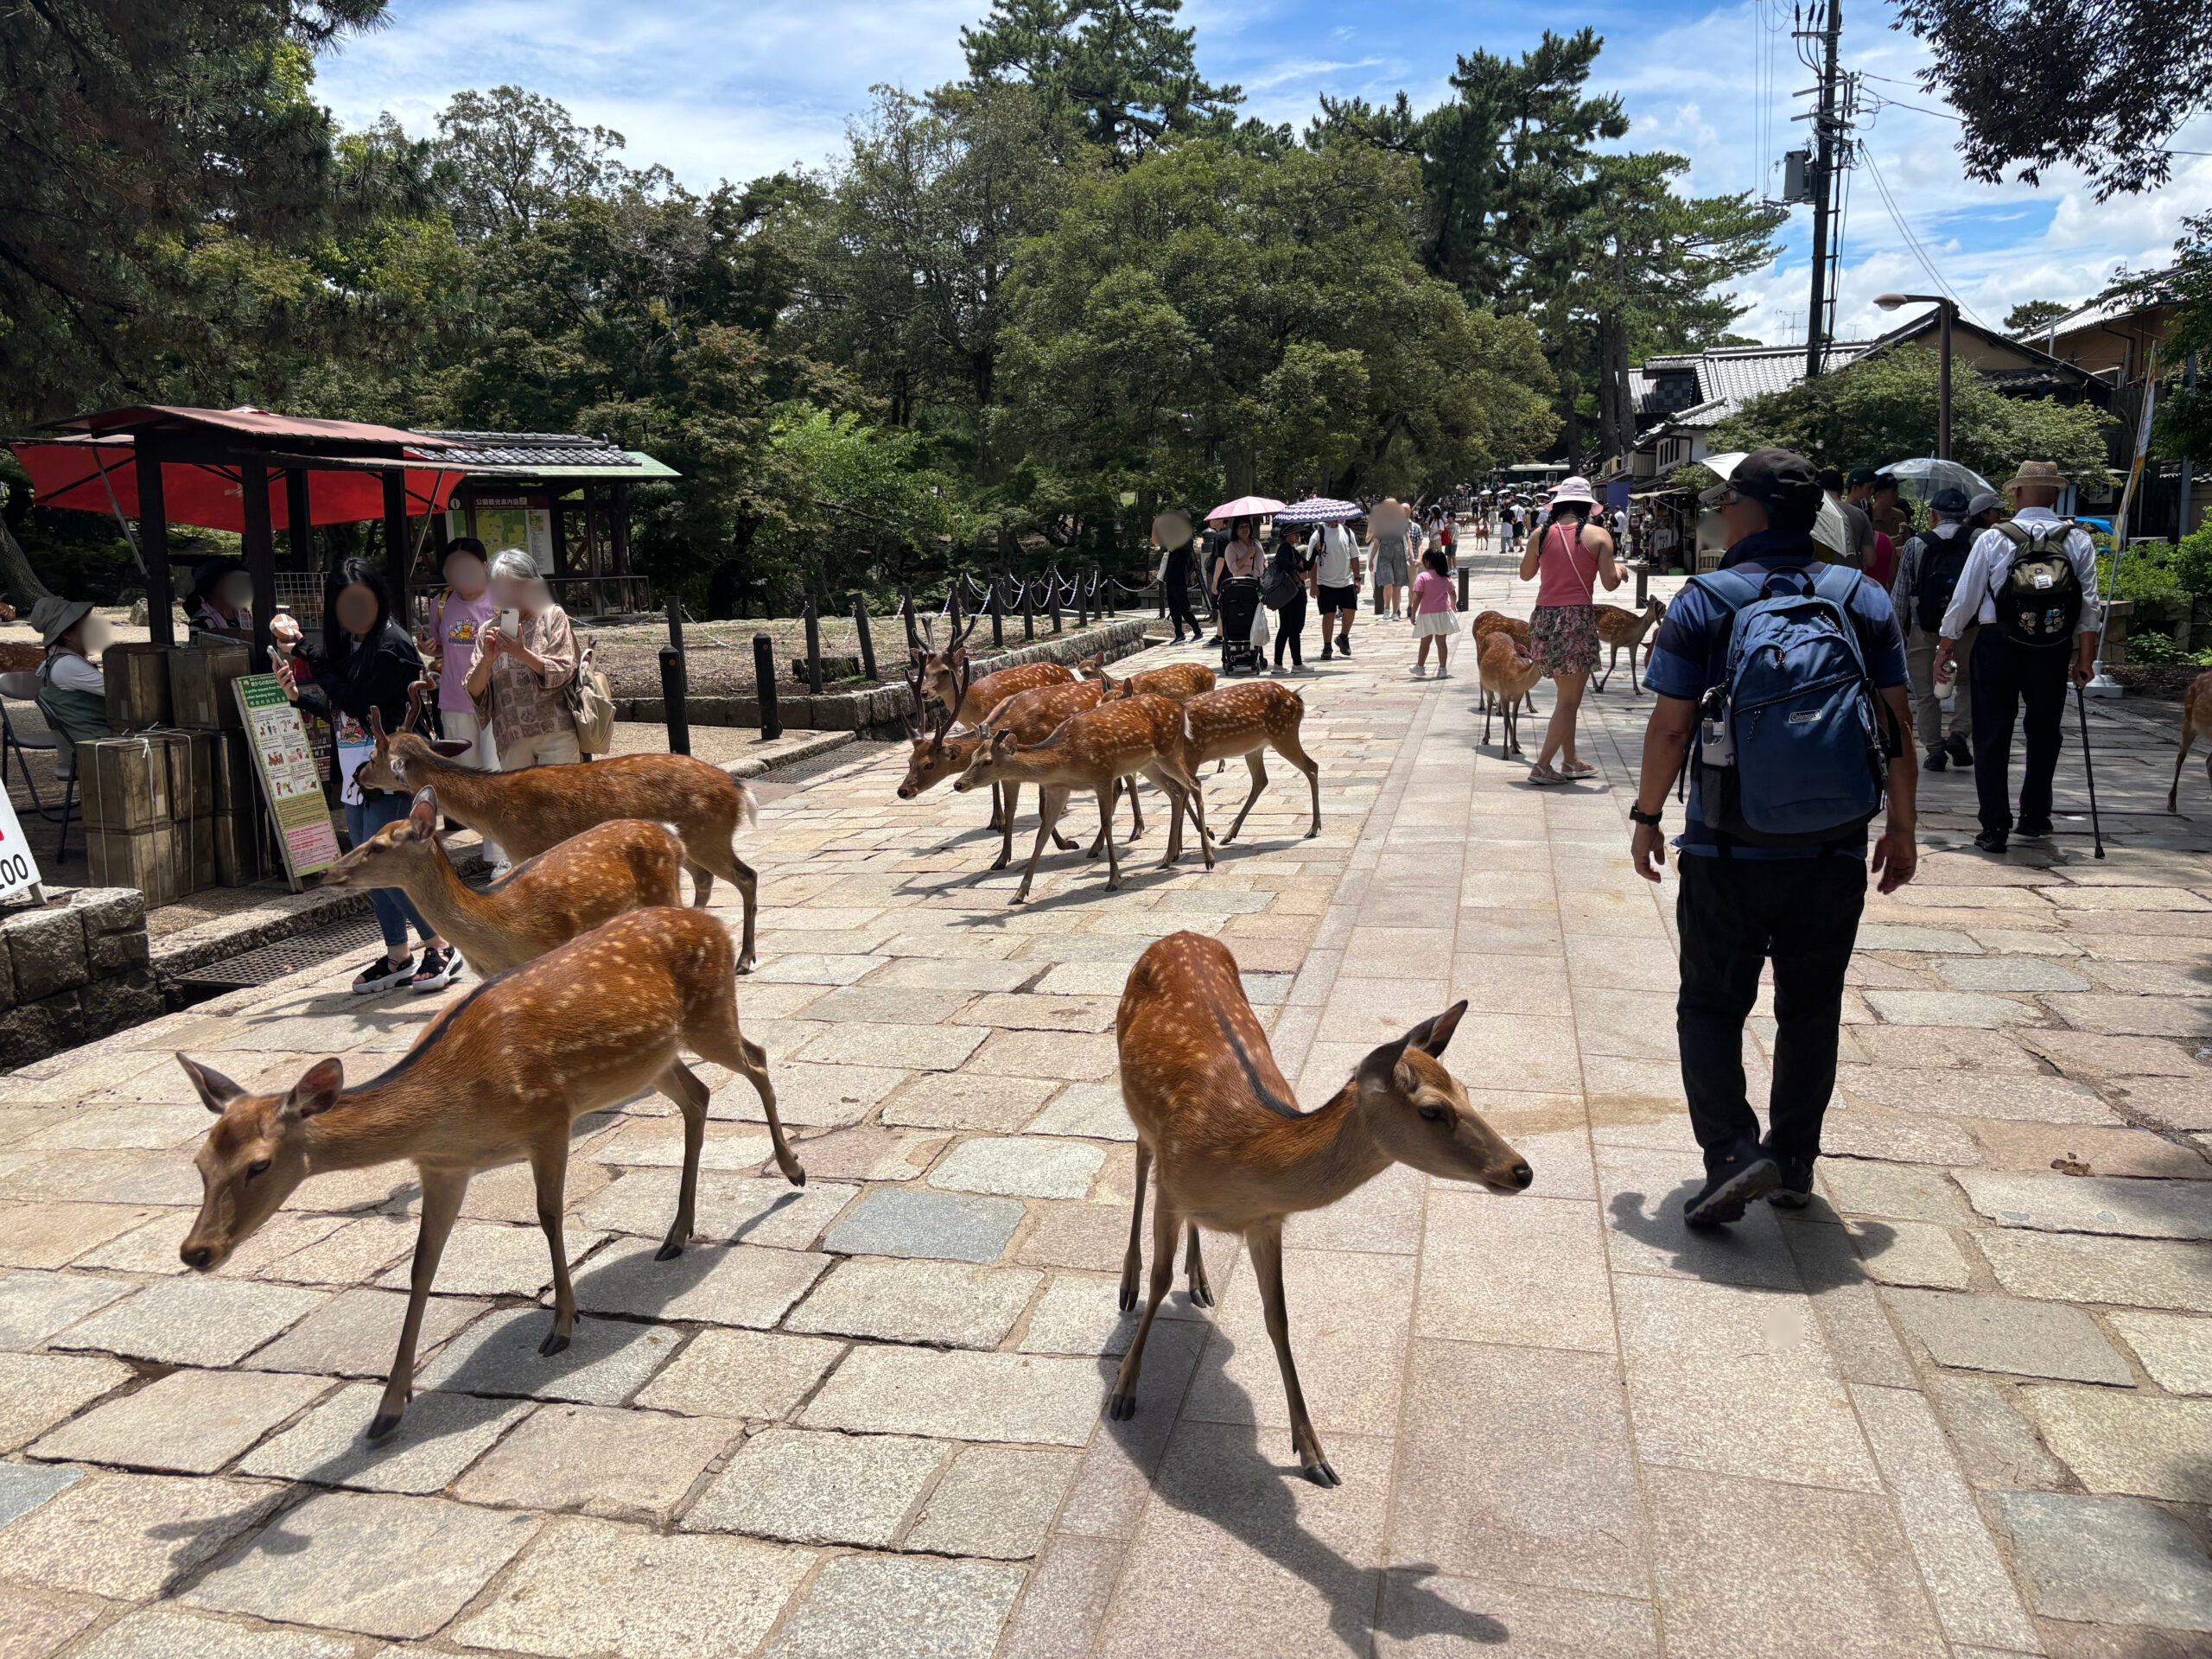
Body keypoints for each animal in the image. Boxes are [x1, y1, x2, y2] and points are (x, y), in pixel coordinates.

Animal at [175, 907, 800, 1440]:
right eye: (199, 1163)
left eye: (259, 1164)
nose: (196, 1251)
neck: (451, 1107)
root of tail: (712, 923)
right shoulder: (445, 1168)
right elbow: (422, 1267)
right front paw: (388, 1409)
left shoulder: (548, 1119)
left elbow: (549, 1217)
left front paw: (562, 1326)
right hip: (656, 1058)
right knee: (698, 1095)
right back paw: (676, 1234)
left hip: (710, 1015)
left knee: (758, 1058)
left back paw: (793, 1171)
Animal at [354, 708, 765, 973]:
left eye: (373, 755)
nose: (357, 776)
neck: (496, 812)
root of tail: (738, 788)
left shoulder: (529, 850)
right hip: (693, 845)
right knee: (705, 880)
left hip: (710, 837)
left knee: (747, 876)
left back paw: (745, 959)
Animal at [953, 693, 1213, 901]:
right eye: (973, 756)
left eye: (988, 761)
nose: (958, 784)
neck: (1067, 759)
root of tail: (1181, 708)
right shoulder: (1058, 789)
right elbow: (1041, 835)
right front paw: (1019, 893)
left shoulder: (1102, 776)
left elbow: (1107, 824)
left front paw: (1113, 880)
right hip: (1149, 763)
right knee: (1176, 791)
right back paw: (1167, 858)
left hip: (1169, 751)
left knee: (1194, 784)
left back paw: (1208, 858)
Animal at [1107, 932, 1531, 1485]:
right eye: (1433, 1110)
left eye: (1467, 1090)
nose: (1521, 1170)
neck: (1242, 1154)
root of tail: (1178, 936)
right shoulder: (1173, 1187)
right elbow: (1159, 1284)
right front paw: (1124, 1390)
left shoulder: (1266, 1222)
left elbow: (1279, 1317)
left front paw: (1314, 1453)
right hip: (1136, 1104)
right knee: (1139, 1158)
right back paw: (1128, 1284)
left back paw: (1199, 1281)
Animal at [1478, 629, 1545, 756]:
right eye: (1537, 659)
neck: (1515, 678)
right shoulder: (1504, 692)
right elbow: (1505, 720)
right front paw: (1504, 753)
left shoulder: (1518, 695)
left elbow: (1514, 716)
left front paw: (1514, 747)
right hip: (1485, 682)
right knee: (1489, 705)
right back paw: (1485, 738)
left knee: (1504, 712)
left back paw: (1516, 744)